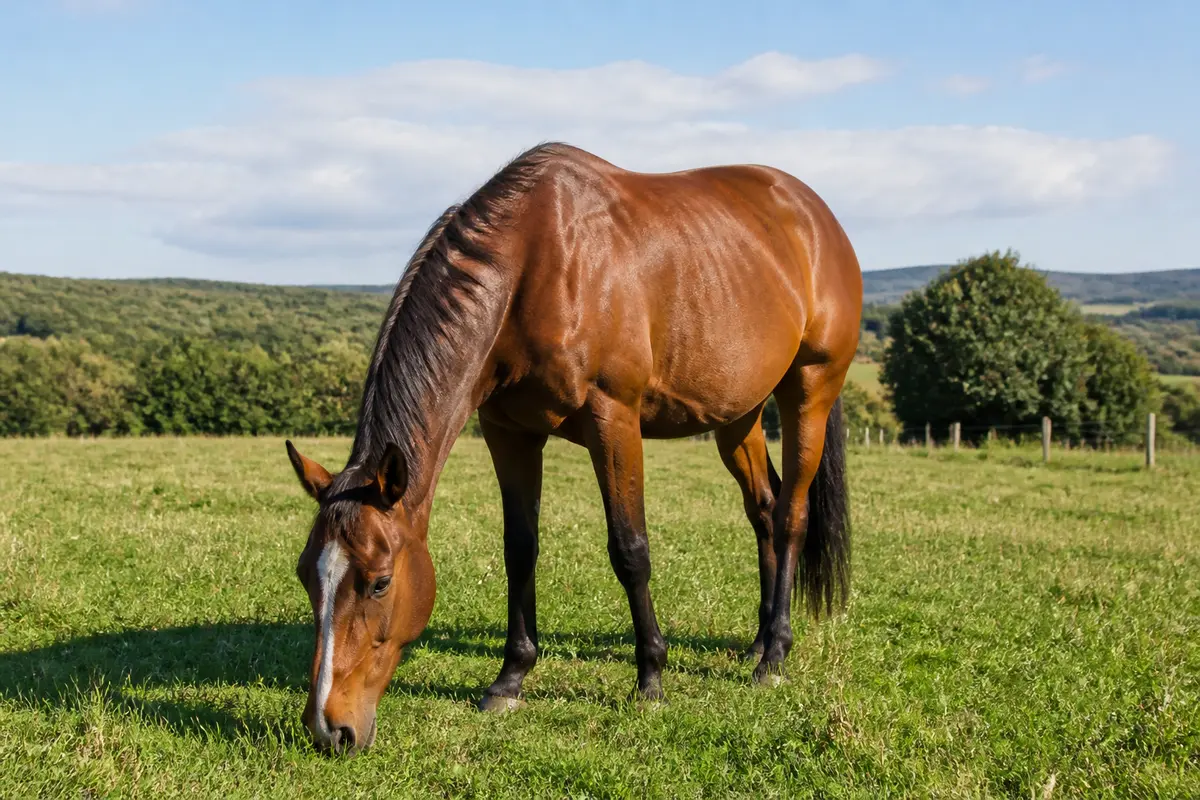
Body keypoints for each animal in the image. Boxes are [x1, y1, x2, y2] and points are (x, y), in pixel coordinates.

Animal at [285, 142, 862, 755]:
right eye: (305, 576)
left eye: (380, 582)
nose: (328, 728)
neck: (535, 266)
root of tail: (817, 217)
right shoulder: (508, 431)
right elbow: (520, 549)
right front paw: (510, 678)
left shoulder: (614, 420)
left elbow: (630, 550)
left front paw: (650, 678)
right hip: (738, 416)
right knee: (764, 510)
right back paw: (757, 640)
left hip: (809, 392)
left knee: (792, 515)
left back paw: (774, 655)